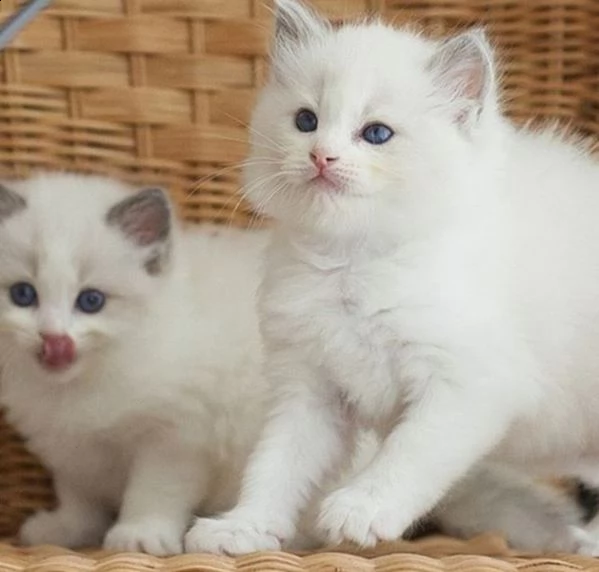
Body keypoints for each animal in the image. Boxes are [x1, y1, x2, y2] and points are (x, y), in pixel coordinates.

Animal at [0, 172, 270, 556]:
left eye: (91, 301)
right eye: (22, 295)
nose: (54, 340)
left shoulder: (178, 435)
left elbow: (153, 491)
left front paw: (139, 535)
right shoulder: (70, 447)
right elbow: (78, 495)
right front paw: (68, 528)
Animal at [186, 0, 599, 556]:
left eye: (376, 133)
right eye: (306, 121)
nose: (321, 156)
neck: (355, 261)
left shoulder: (469, 382)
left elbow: (411, 453)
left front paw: (362, 510)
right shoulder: (309, 387)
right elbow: (275, 465)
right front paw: (244, 526)